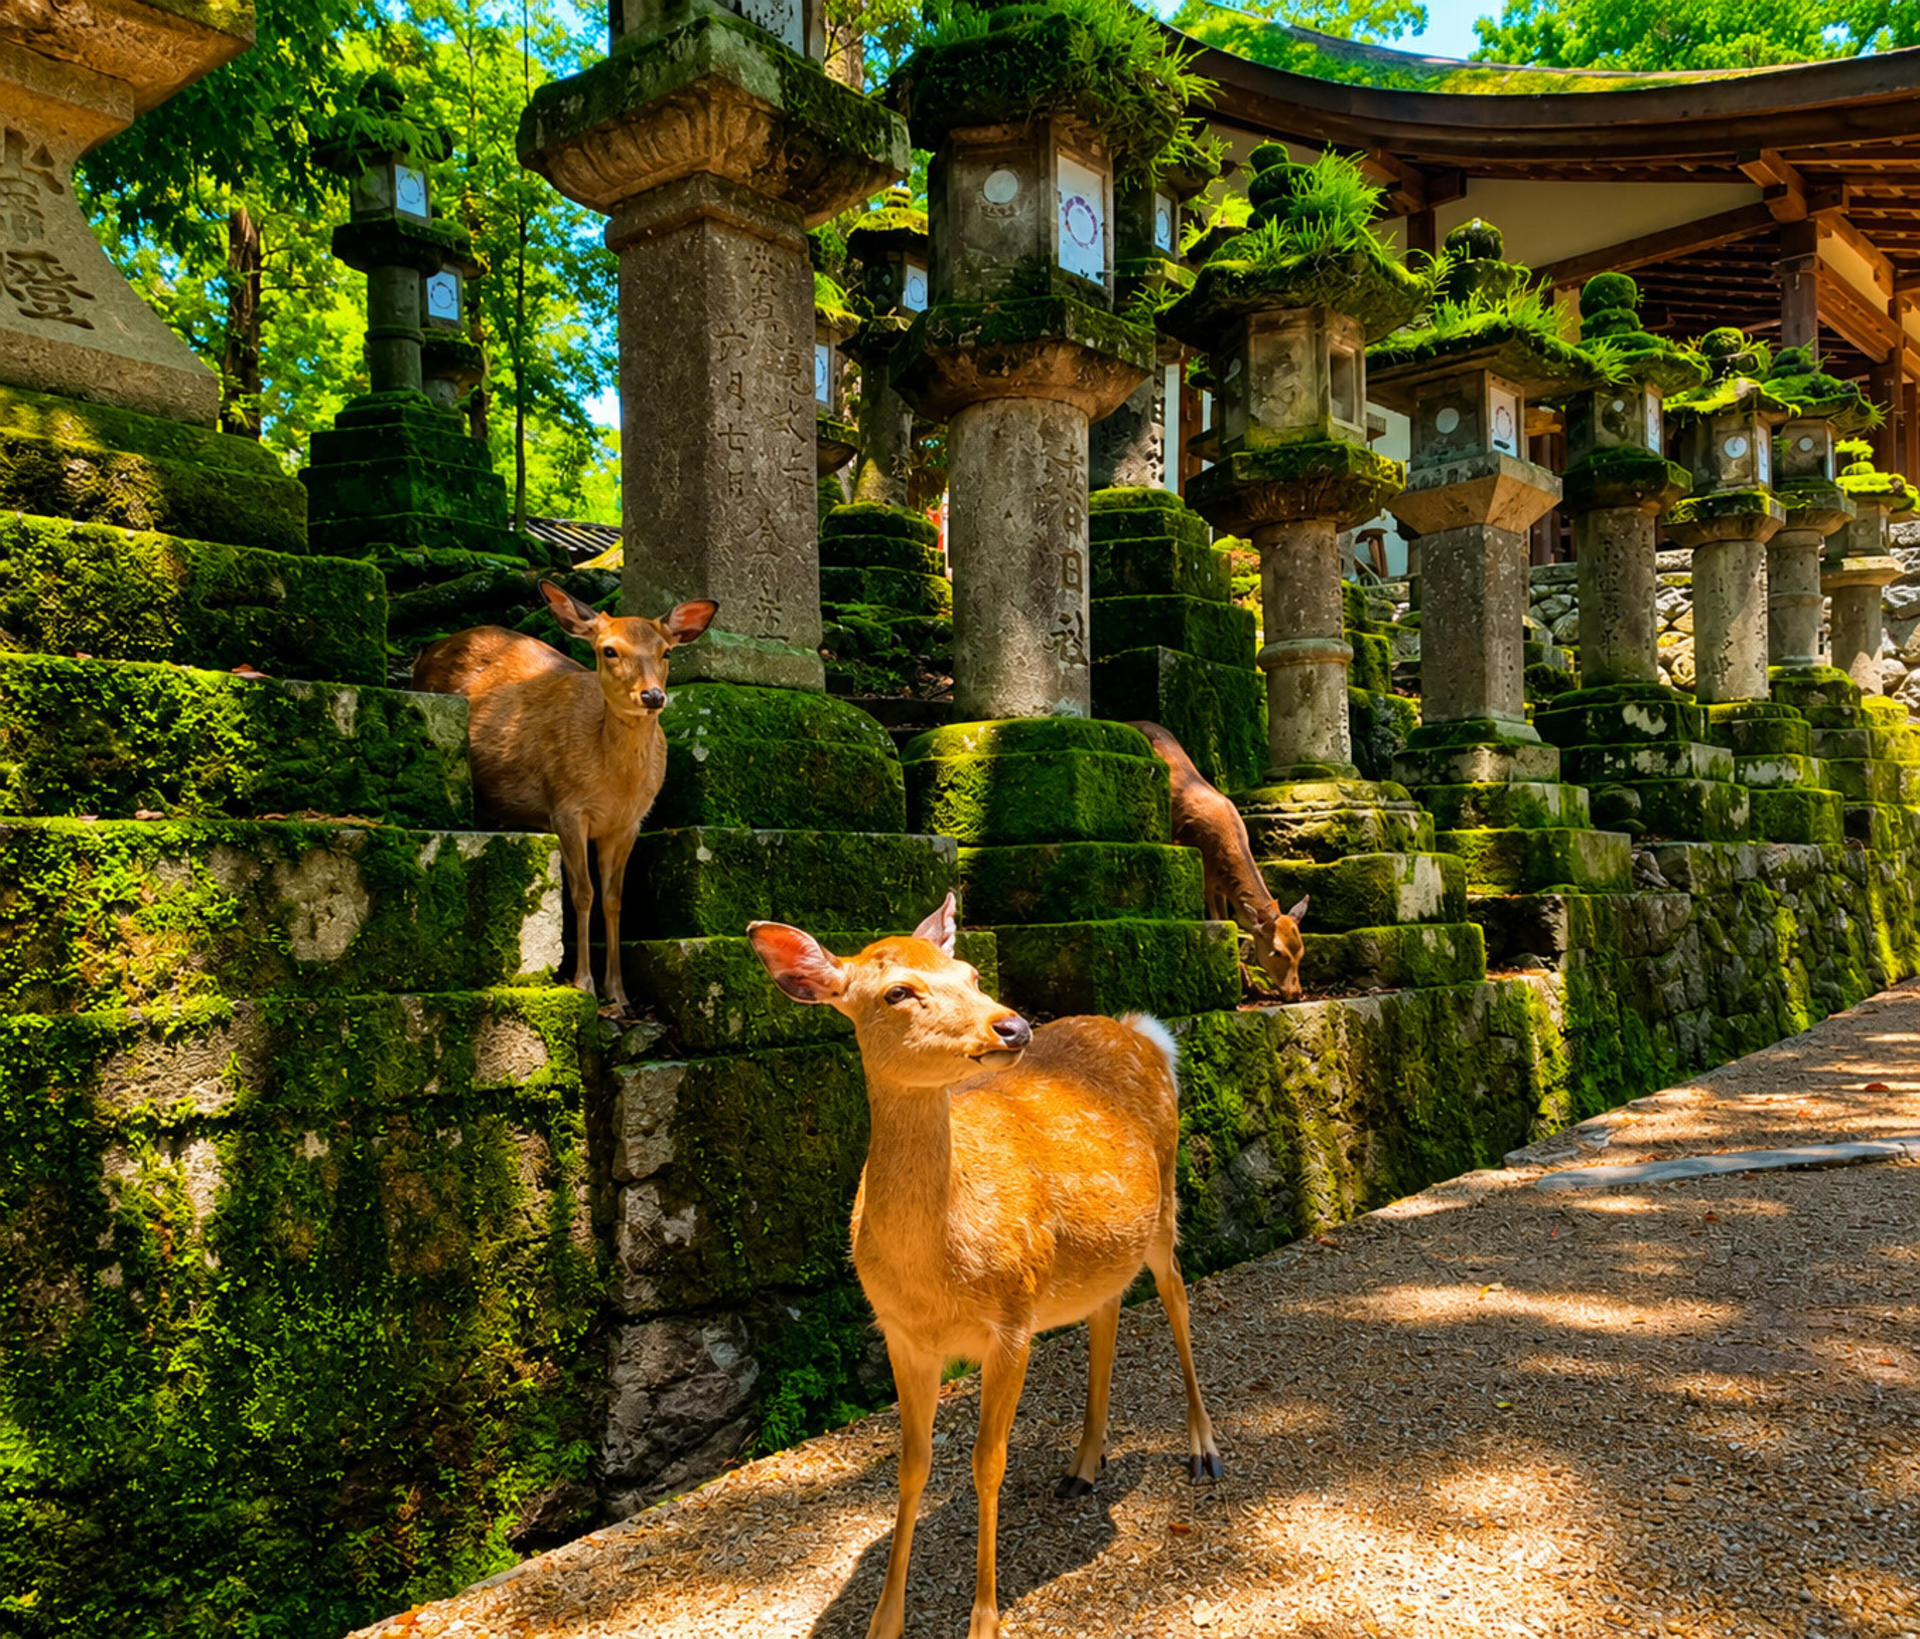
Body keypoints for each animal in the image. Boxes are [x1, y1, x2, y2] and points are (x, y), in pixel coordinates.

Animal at [412, 580, 718, 1016]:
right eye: (609, 650)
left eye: (667, 652)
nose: (653, 696)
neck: (615, 785)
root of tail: (429, 649)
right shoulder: (566, 808)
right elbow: (582, 892)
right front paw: (584, 984)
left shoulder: (630, 823)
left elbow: (613, 899)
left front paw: (619, 993)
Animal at [747, 894, 1220, 1639]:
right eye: (897, 992)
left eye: (970, 972)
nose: (1012, 1024)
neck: (935, 1275)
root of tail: (1141, 1030)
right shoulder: (901, 1334)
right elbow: (912, 1467)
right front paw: (884, 1620)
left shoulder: (1013, 1320)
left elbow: (986, 1465)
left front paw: (985, 1620)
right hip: (1101, 1246)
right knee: (1108, 1307)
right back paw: (1084, 1463)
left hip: (1166, 1196)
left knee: (1175, 1295)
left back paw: (1203, 1449)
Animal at [1130, 721, 1309, 1002]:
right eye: (1276, 952)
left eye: (1301, 950)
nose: (1295, 993)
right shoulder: (1202, 875)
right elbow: (1219, 922)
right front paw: (1242, 983)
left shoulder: (1220, 887)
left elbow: (1230, 921)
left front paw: (1249, 983)